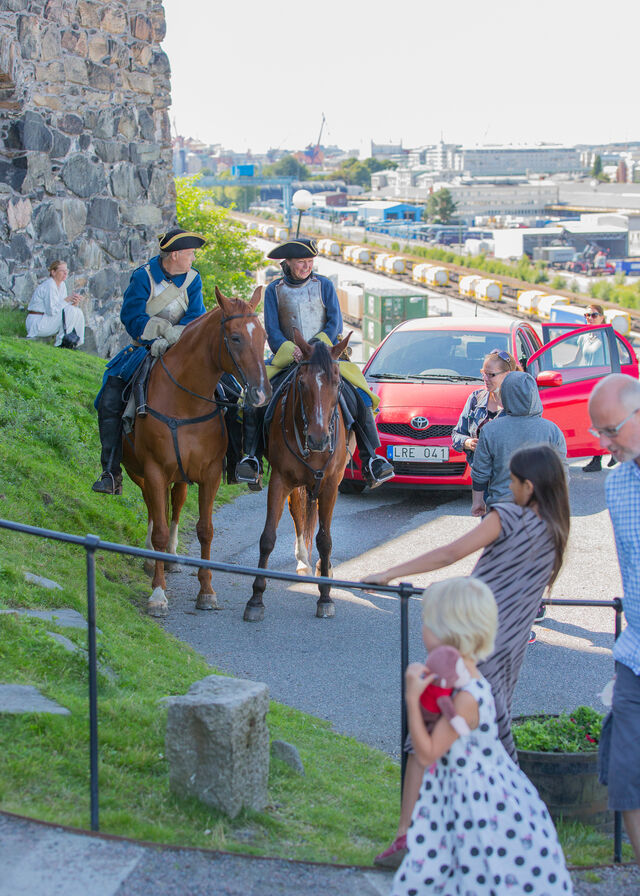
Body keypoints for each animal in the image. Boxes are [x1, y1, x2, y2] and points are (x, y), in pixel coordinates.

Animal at [123, 285, 271, 616]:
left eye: (264, 336)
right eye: (235, 337)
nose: (261, 394)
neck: (184, 402)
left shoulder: (210, 474)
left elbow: (205, 529)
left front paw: (206, 591)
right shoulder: (154, 471)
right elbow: (159, 528)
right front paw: (157, 594)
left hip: (179, 477)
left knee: (175, 504)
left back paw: (171, 557)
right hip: (139, 473)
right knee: (153, 508)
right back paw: (152, 558)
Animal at [244, 329, 354, 622]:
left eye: (337, 383)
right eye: (302, 383)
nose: (318, 439)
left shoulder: (330, 485)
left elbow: (325, 540)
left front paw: (325, 597)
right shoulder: (280, 481)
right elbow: (268, 538)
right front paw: (256, 599)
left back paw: (321, 566)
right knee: (298, 514)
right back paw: (303, 560)